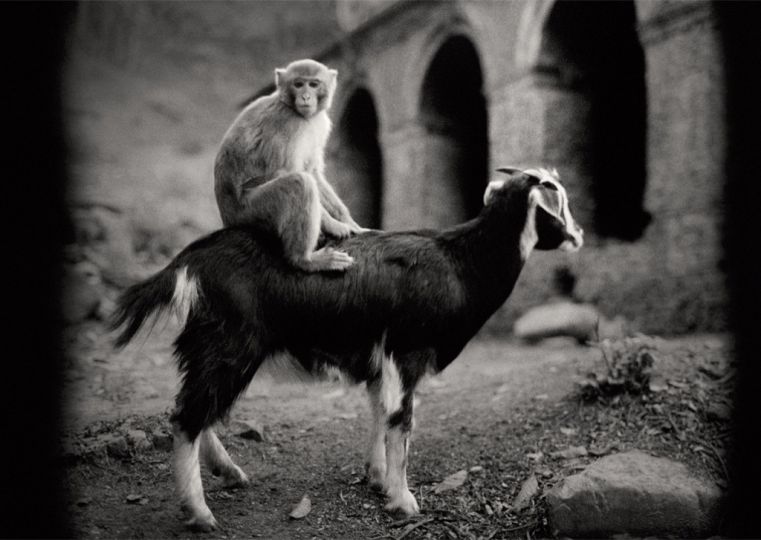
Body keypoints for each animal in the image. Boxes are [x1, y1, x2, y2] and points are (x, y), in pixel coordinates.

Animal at [110, 167, 580, 528]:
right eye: (558, 201)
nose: (578, 234)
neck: (461, 261)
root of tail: (190, 261)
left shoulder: (377, 359)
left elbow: (378, 411)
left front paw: (377, 479)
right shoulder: (406, 351)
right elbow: (401, 420)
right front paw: (403, 501)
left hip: (208, 346)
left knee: (193, 407)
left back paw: (228, 472)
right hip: (230, 346)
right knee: (188, 415)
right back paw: (200, 512)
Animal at [214, 57, 366, 272]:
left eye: (313, 84)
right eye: (298, 84)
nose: (305, 97)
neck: (293, 108)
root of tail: (228, 219)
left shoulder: (318, 123)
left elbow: (313, 172)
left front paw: (349, 221)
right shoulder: (287, 123)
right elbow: (287, 172)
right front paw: (334, 225)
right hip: (250, 212)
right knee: (299, 184)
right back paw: (305, 259)